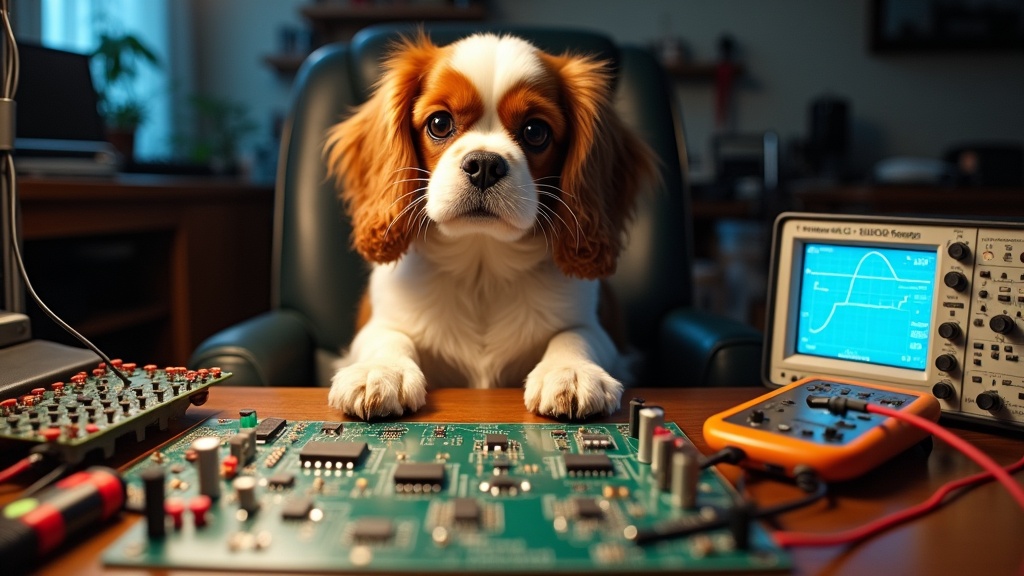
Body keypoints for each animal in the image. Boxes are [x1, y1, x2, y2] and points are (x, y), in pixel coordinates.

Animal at [323, 31, 655, 416]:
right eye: (439, 124)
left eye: (535, 131)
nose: (484, 164)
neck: (482, 267)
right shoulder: (378, 323)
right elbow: (387, 336)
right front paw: (380, 371)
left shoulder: (601, 331)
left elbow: (576, 334)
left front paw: (571, 370)